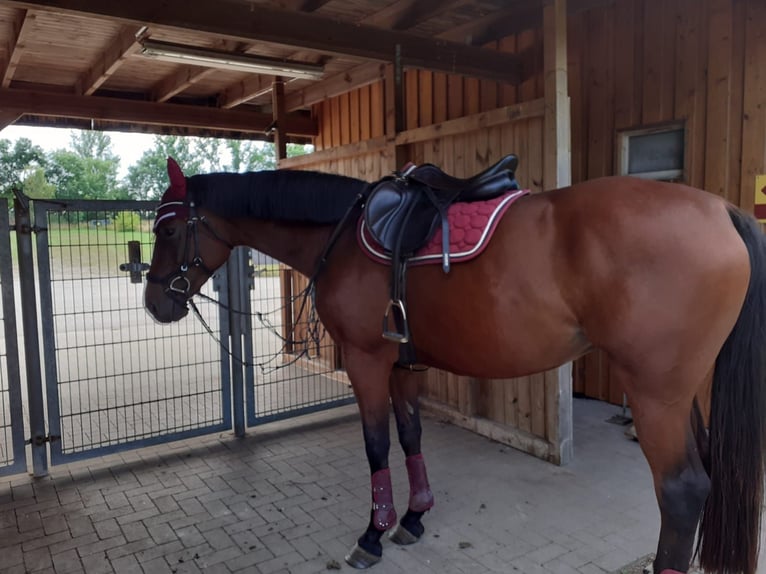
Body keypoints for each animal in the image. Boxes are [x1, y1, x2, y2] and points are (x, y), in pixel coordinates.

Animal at [146, 158, 766, 574]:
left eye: (168, 228)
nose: (156, 303)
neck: (339, 234)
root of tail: (722, 210)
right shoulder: (402, 364)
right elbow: (410, 436)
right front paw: (414, 518)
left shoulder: (366, 362)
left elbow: (376, 444)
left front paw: (372, 534)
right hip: (688, 390)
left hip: (657, 393)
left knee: (681, 489)